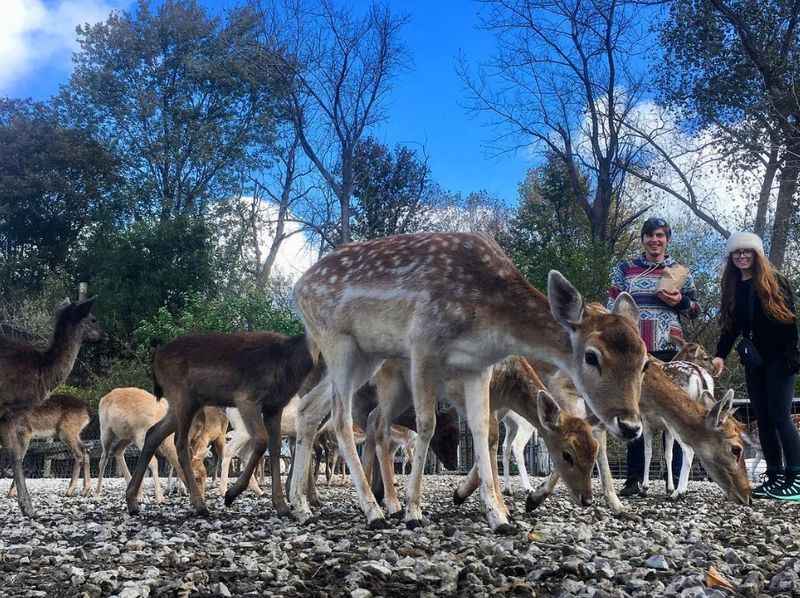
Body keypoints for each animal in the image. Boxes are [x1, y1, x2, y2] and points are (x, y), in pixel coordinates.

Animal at [0, 298, 104, 516]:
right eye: (93, 318)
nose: (104, 335)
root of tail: (88, 411)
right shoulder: (11, 412)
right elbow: (16, 456)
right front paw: (27, 506)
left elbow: (16, 456)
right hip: (67, 431)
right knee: (83, 452)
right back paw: (79, 489)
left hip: (67, 431)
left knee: (82, 452)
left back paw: (79, 489)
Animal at [125, 332, 318, 520]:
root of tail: (156, 356)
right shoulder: (247, 397)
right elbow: (262, 440)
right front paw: (230, 495)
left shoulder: (274, 407)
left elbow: (275, 447)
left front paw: (282, 506)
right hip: (183, 398)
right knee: (180, 442)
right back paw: (199, 504)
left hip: (182, 405)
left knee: (154, 433)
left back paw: (132, 502)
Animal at [288, 234, 644, 536]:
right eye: (592, 355)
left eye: (643, 361)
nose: (630, 425)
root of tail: (298, 287)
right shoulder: (423, 344)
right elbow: (428, 425)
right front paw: (414, 512)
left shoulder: (477, 368)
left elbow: (480, 429)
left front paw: (499, 517)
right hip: (339, 343)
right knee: (341, 419)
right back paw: (373, 510)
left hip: (366, 356)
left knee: (310, 409)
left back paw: (301, 507)